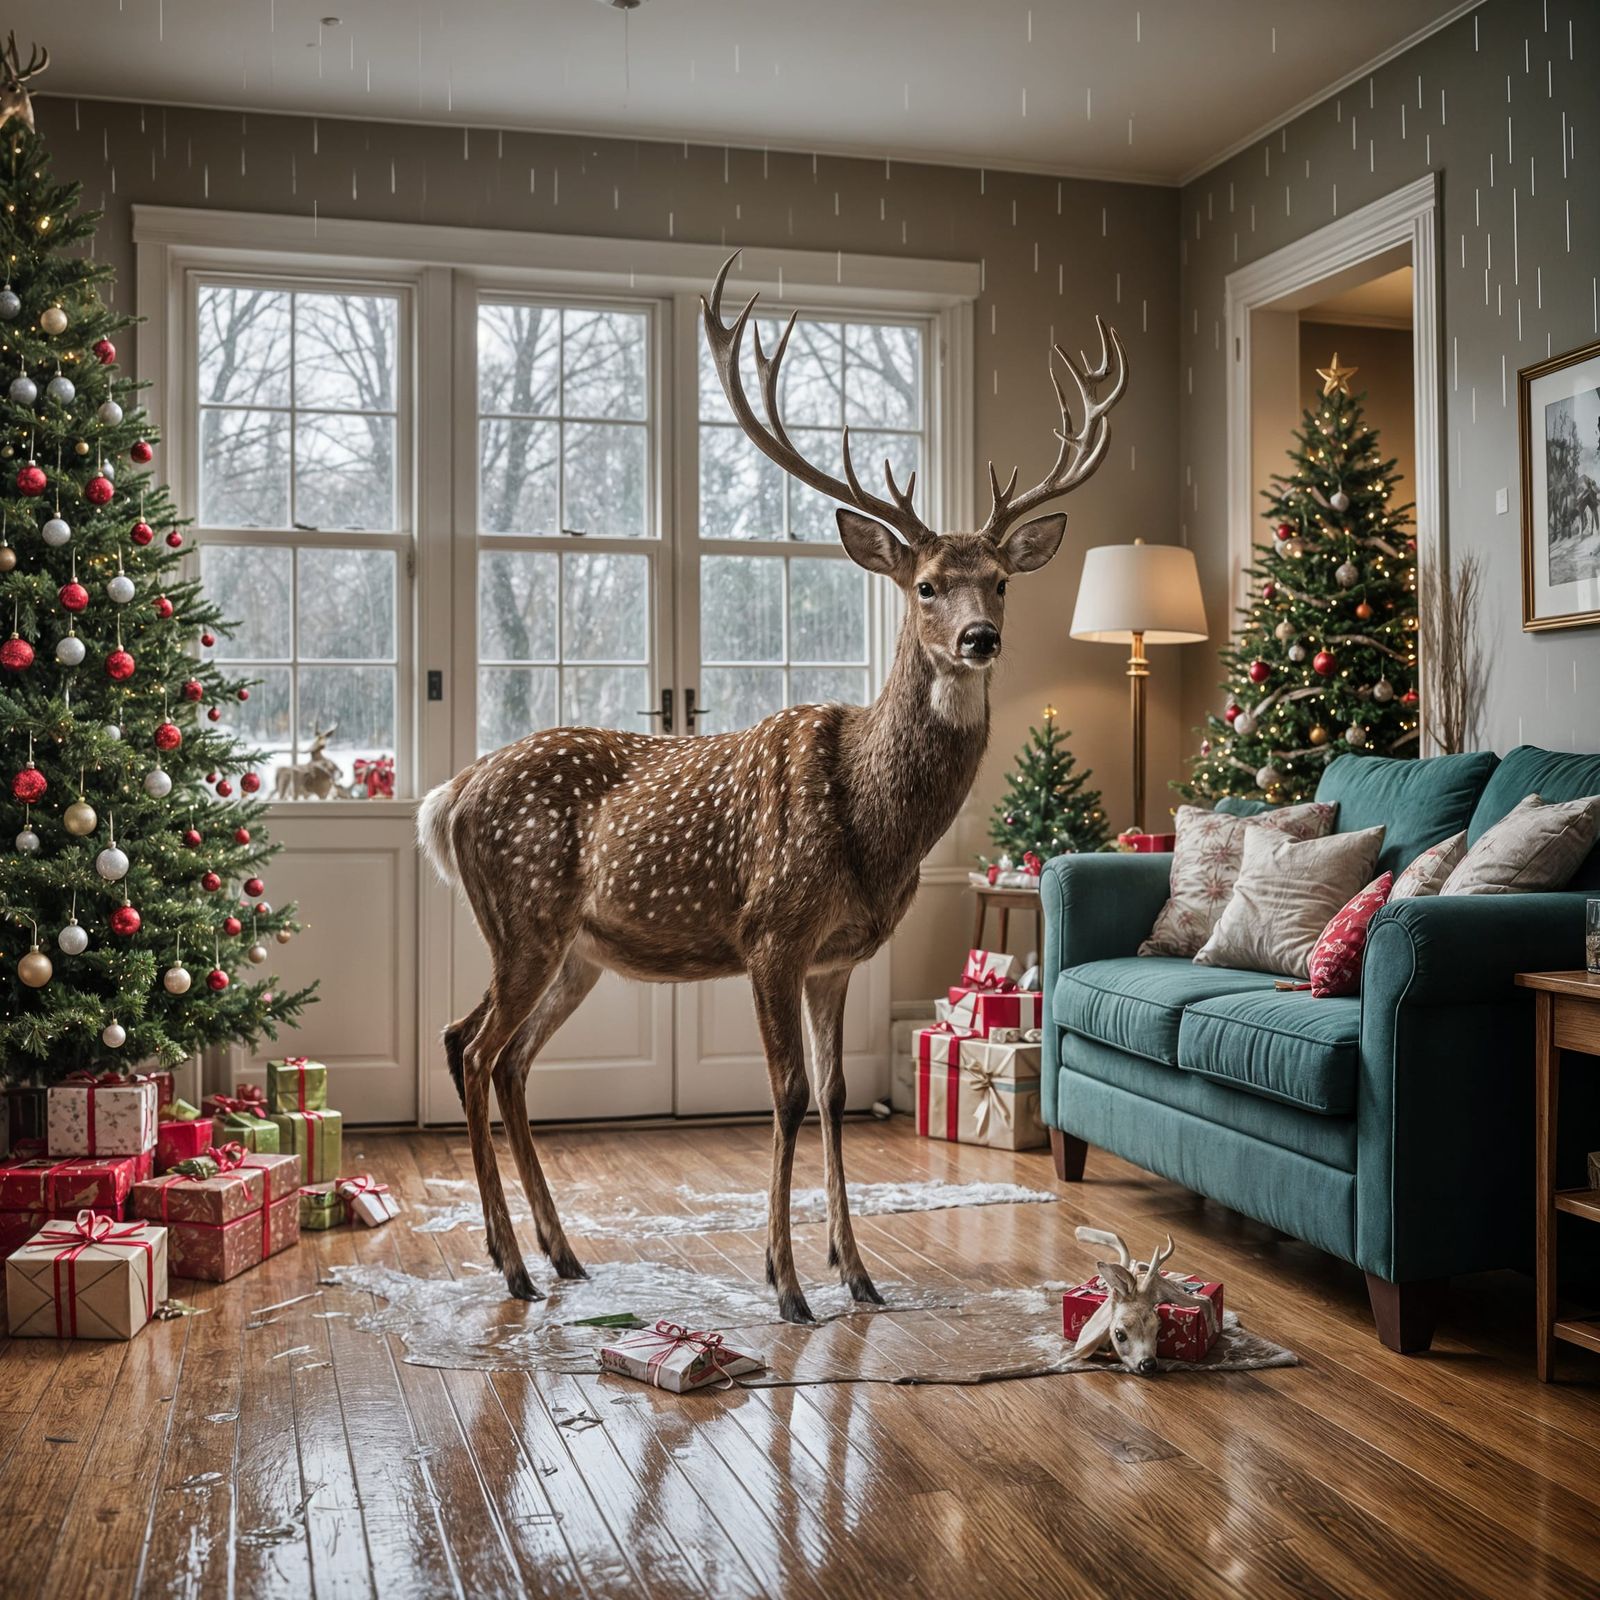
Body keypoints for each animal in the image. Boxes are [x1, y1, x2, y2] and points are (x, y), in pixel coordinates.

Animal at [419, 252, 1126, 1322]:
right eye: (925, 583)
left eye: (1002, 579)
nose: (979, 638)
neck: (876, 833)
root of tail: (451, 796)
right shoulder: (770, 931)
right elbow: (786, 1096)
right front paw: (787, 1284)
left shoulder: (838, 956)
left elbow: (833, 1096)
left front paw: (860, 1275)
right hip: (525, 915)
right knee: (469, 1046)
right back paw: (510, 1264)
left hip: (577, 949)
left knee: (507, 1058)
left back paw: (561, 1254)